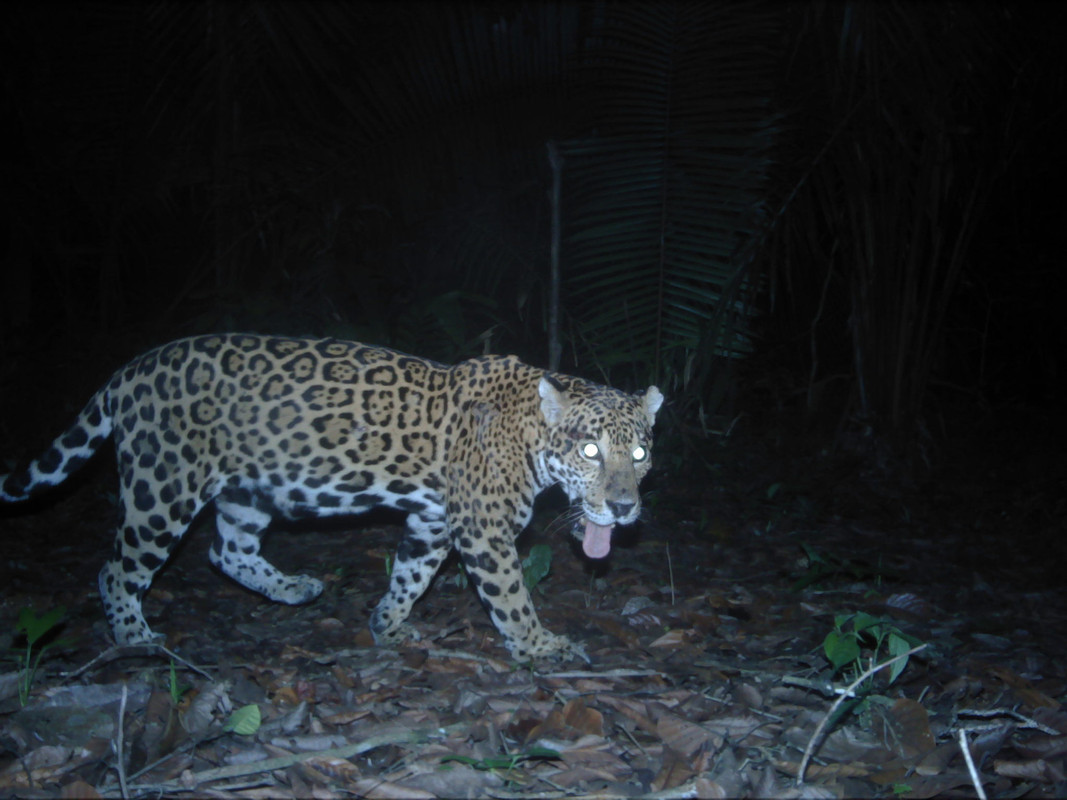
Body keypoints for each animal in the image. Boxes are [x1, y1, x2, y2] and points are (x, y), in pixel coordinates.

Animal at [1, 334, 662, 660]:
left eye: (638, 455)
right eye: (590, 451)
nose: (624, 508)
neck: (529, 431)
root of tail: (129, 370)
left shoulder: (434, 522)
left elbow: (411, 576)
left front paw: (387, 626)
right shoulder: (483, 529)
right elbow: (511, 596)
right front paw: (539, 645)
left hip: (248, 488)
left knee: (226, 550)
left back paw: (294, 588)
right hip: (162, 486)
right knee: (118, 570)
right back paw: (135, 639)